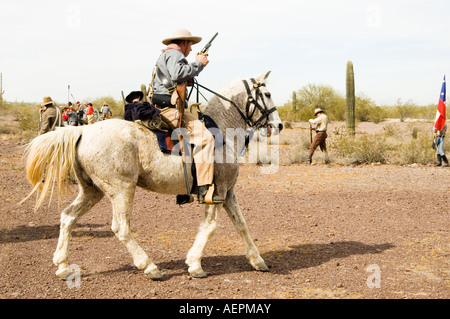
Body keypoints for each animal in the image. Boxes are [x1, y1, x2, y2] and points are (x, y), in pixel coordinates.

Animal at [22, 72, 284, 280]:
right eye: (268, 93)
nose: (279, 125)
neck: (222, 130)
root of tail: (83, 131)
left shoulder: (228, 191)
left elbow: (242, 225)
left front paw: (257, 260)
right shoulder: (216, 192)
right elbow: (210, 227)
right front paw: (195, 264)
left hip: (92, 191)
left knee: (68, 217)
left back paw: (63, 266)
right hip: (122, 190)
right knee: (121, 227)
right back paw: (149, 266)